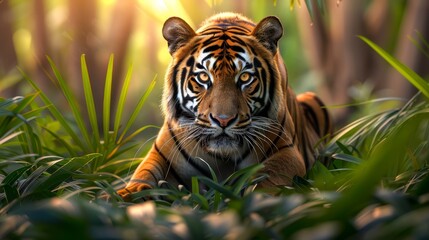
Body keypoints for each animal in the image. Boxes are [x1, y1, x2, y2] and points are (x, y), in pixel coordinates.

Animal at [117, 12, 332, 201]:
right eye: (204, 77)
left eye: (244, 77)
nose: (223, 120)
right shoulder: (160, 155)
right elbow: (141, 179)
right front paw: (122, 196)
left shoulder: (287, 153)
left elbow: (268, 181)